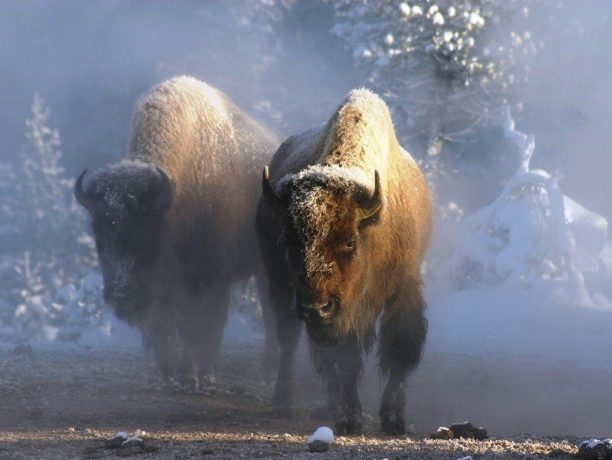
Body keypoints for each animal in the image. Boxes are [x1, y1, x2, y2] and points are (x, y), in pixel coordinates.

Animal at [74, 77, 282, 386]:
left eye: (146, 230)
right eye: (97, 228)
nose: (121, 292)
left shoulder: (209, 276)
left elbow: (200, 324)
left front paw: (195, 373)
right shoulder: (164, 285)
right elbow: (164, 324)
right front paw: (170, 369)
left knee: (270, 315)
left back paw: (267, 372)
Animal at [256, 89, 432, 434]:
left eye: (349, 241)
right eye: (289, 240)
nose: (316, 308)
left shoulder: (404, 286)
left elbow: (400, 349)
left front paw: (394, 419)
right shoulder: (344, 312)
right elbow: (345, 361)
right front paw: (350, 419)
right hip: (280, 285)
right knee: (288, 341)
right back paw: (284, 403)